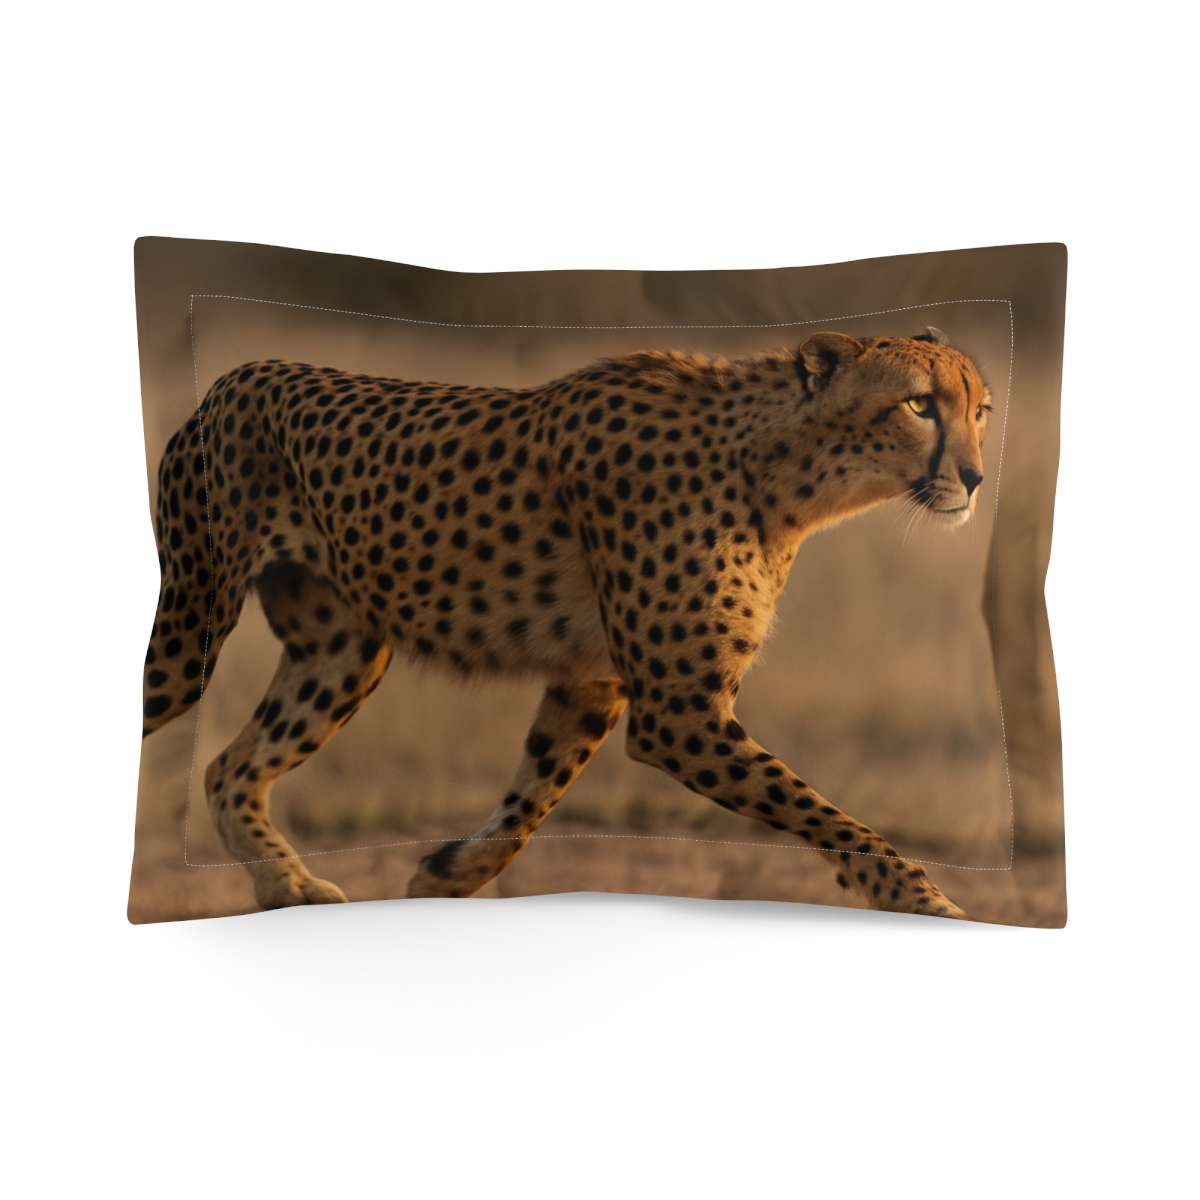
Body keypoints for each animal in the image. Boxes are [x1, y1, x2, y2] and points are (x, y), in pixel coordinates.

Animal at [141, 326, 992, 918]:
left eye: (981, 409)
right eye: (920, 404)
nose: (978, 477)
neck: (789, 474)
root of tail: (235, 375)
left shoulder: (595, 682)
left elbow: (534, 797)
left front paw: (446, 874)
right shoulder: (678, 713)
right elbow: (834, 818)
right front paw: (928, 905)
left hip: (342, 652)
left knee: (227, 769)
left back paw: (288, 887)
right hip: (193, 629)